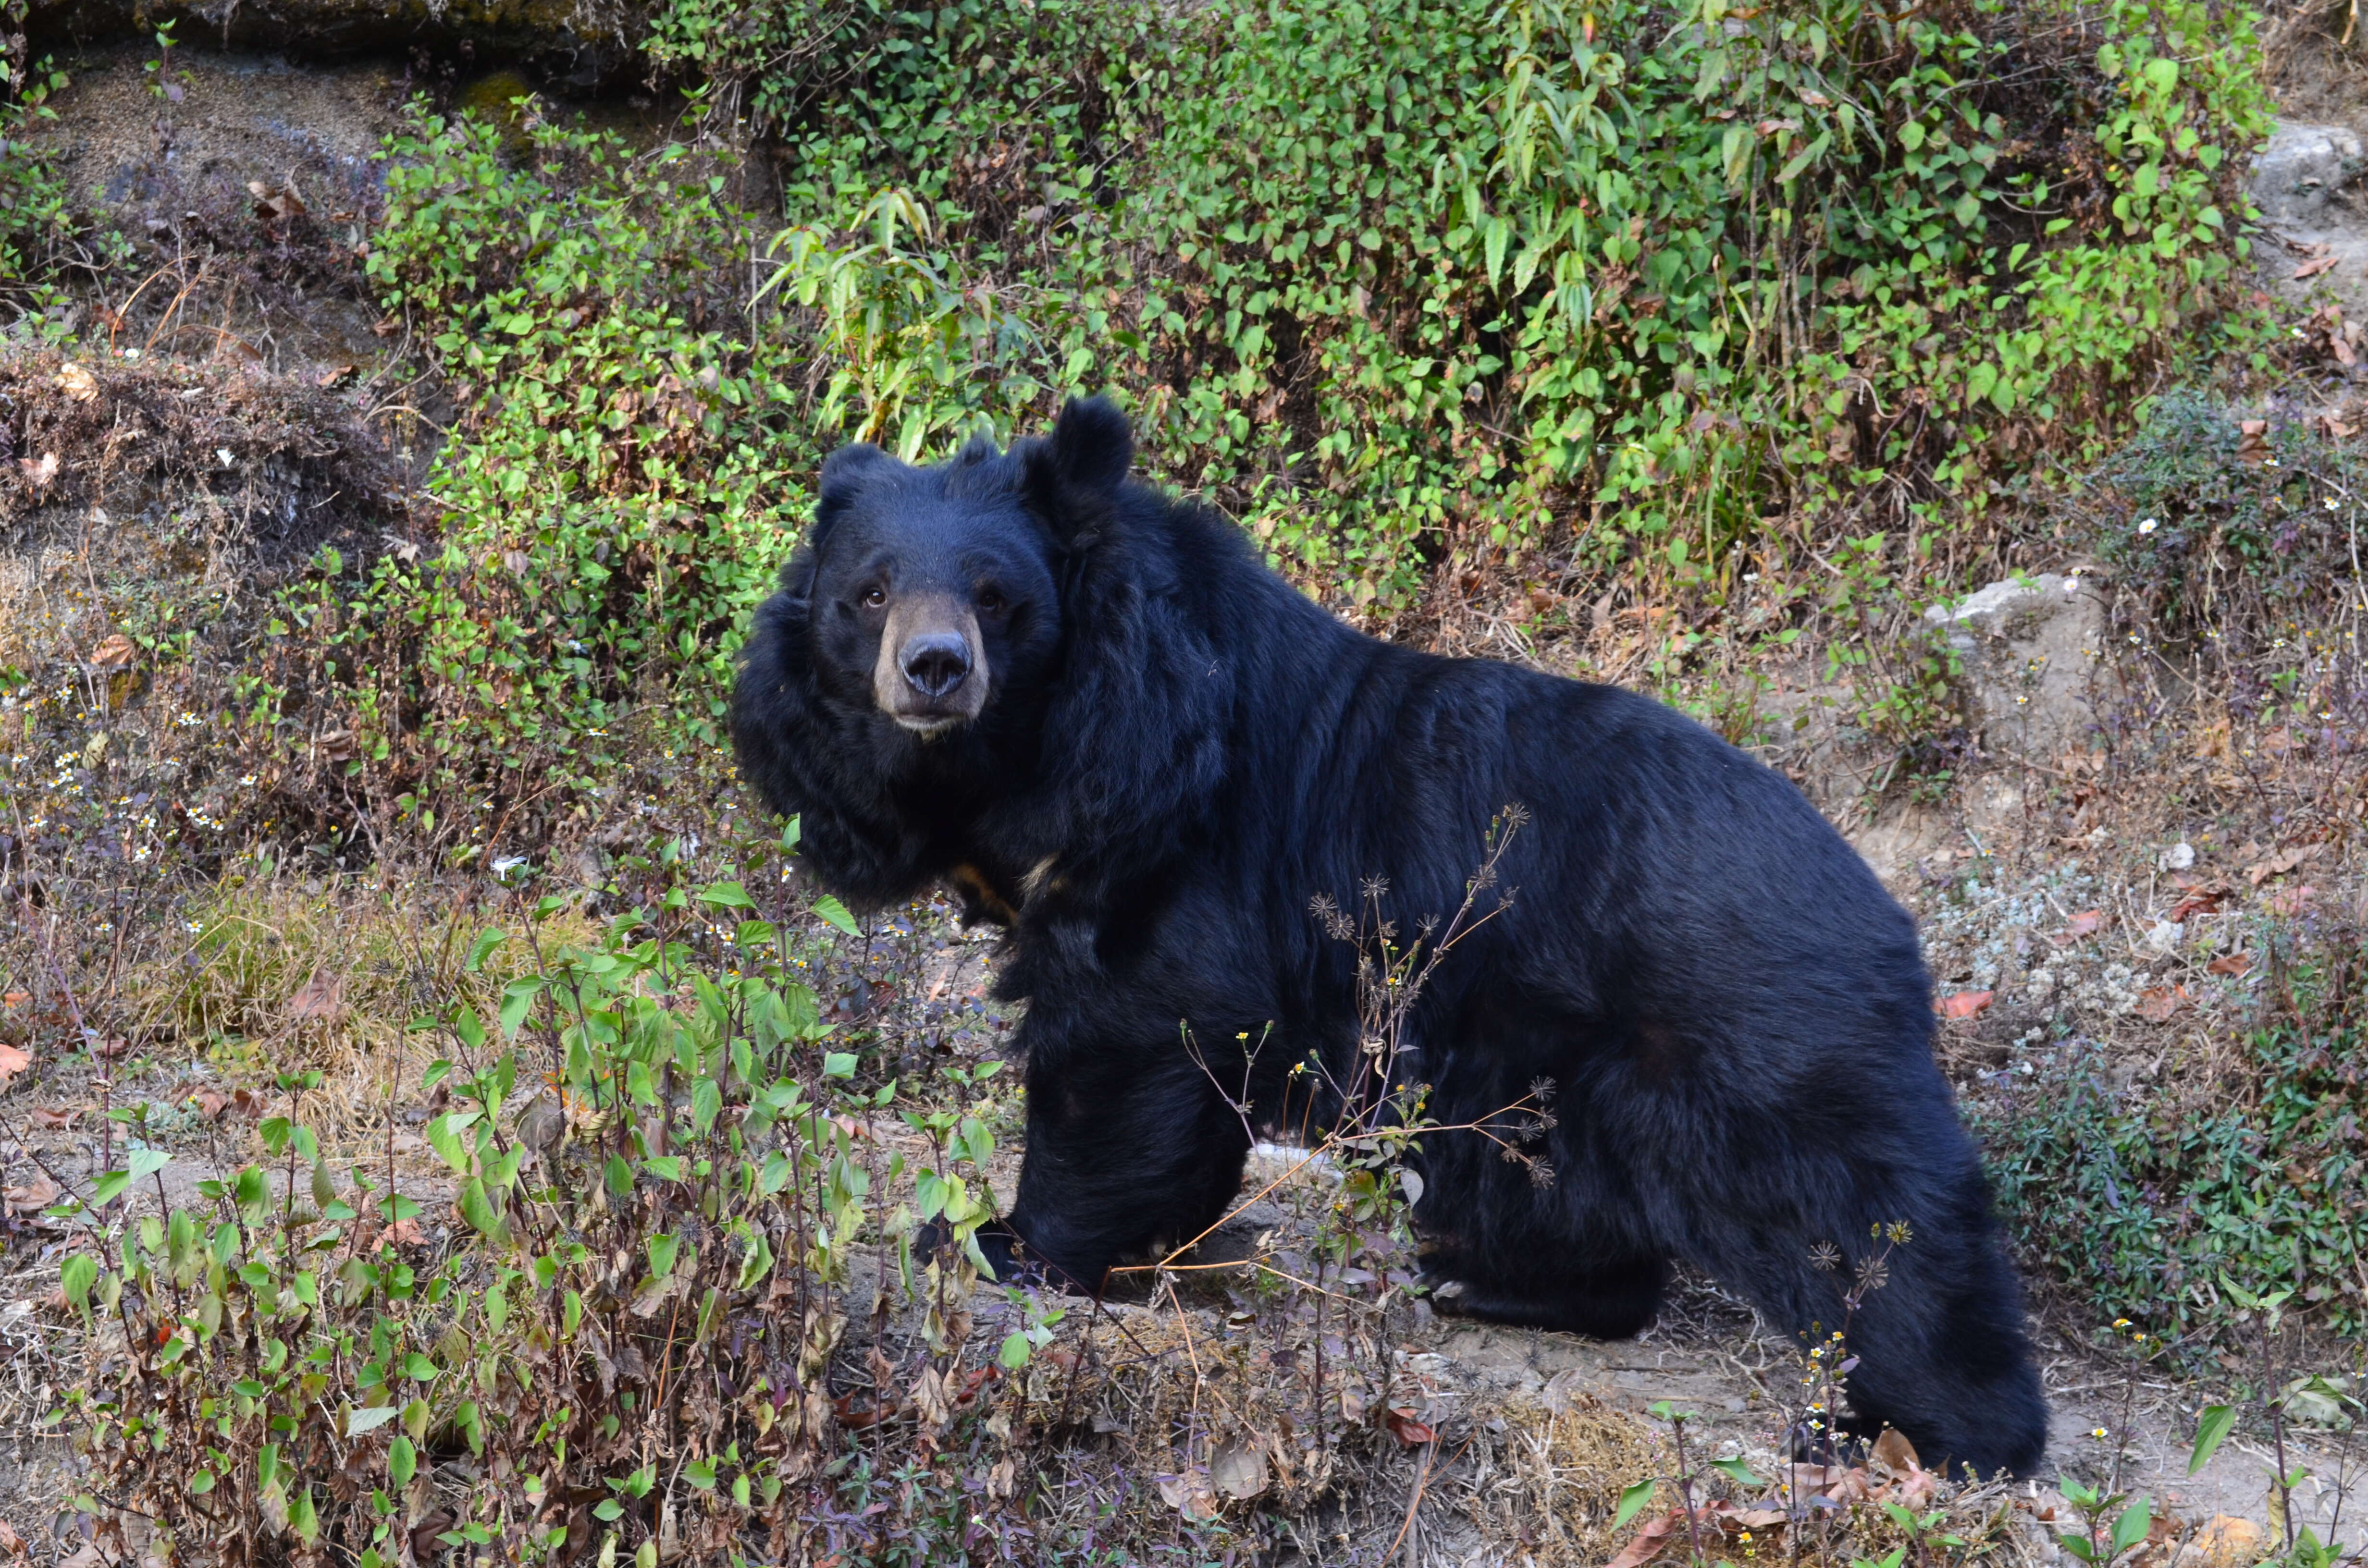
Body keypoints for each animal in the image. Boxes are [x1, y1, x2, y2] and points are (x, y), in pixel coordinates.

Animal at [734, 400, 2055, 1478]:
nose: (933, 670)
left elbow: (1131, 1039)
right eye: (868, 593)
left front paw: (1001, 1241)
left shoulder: (1175, 840)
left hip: (1754, 1047)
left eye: (997, 597)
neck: (1032, 754)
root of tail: (1888, 914)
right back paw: (1482, 1282)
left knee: (1869, 1232)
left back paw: (1918, 1433)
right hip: (1541, 1065)